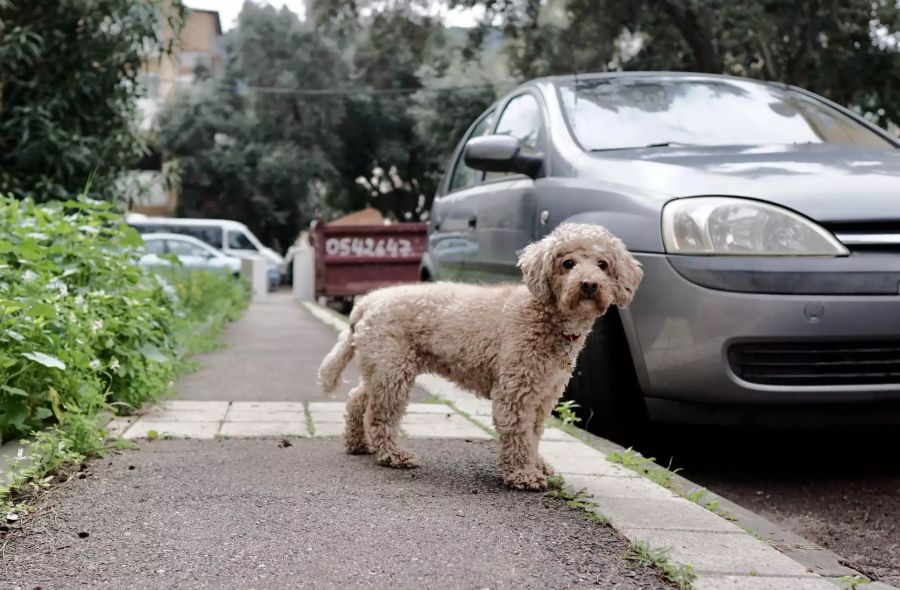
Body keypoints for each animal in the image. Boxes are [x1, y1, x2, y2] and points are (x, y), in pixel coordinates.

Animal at [316, 224, 640, 492]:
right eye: (567, 263)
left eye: (603, 265)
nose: (589, 285)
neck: (544, 315)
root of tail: (367, 302)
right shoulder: (516, 389)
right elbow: (519, 433)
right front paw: (524, 474)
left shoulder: (545, 392)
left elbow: (534, 433)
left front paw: (537, 464)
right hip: (392, 367)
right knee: (379, 413)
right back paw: (393, 455)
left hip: (382, 364)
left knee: (358, 398)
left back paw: (358, 444)